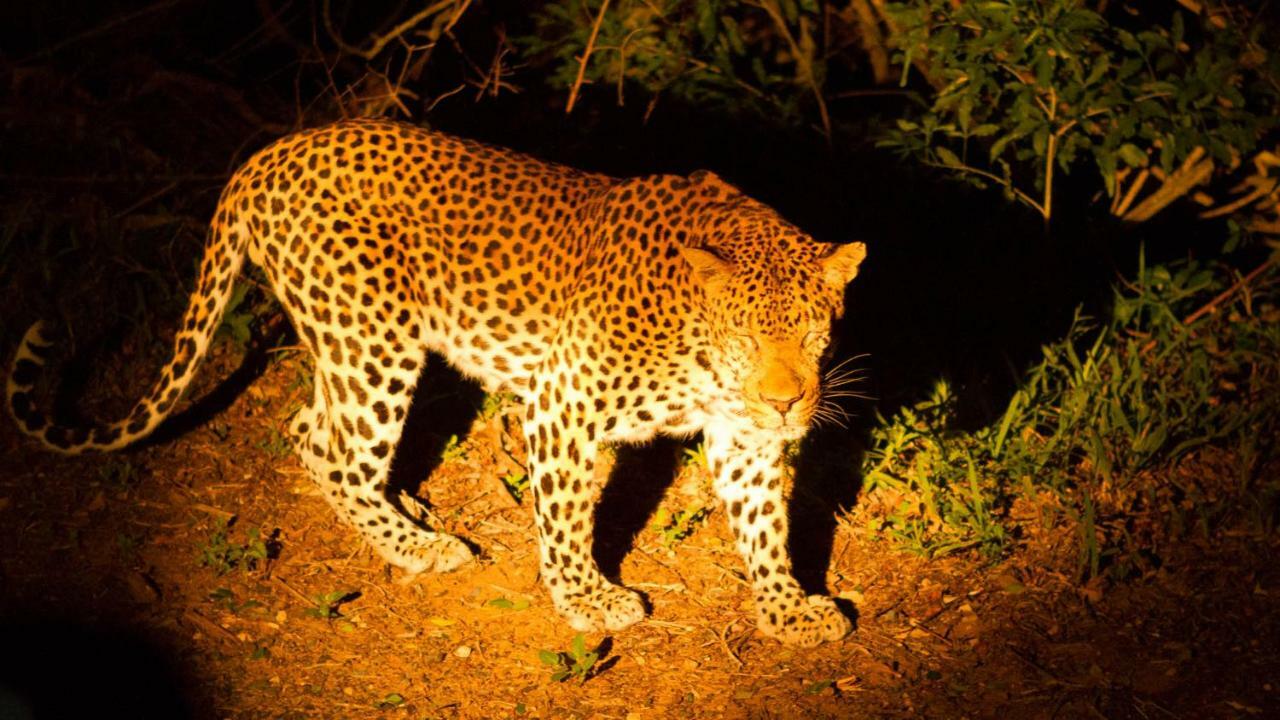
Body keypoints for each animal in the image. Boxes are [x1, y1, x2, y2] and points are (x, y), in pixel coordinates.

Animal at [5, 117, 865, 645]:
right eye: (746, 336)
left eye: (812, 331)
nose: (787, 400)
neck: (695, 342)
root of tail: (268, 155)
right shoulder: (563, 404)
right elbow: (565, 519)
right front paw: (586, 598)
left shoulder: (744, 435)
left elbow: (763, 523)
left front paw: (787, 609)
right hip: (374, 339)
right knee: (337, 451)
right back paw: (420, 547)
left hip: (346, 341)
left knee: (307, 429)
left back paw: (405, 517)